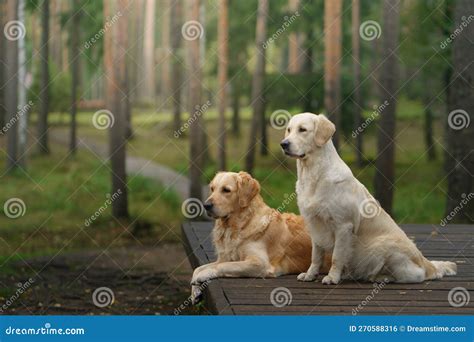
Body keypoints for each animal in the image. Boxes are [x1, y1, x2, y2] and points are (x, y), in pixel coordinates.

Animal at [190, 171, 330, 302]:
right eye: (212, 189)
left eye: (226, 190)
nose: (206, 205)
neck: (240, 225)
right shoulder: (225, 257)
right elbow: (198, 268)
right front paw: (195, 292)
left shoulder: (260, 263)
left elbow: (222, 266)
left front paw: (202, 275)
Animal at [280, 112, 458, 284]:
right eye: (289, 129)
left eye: (303, 130)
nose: (284, 144)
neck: (313, 173)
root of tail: (426, 263)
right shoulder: (315, 224)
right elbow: (316, 255)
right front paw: (310, 274)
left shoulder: (343, 225)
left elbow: (337, 256)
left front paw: (332, 277)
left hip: (381, 245)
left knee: (414, 276)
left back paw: (379, 278)